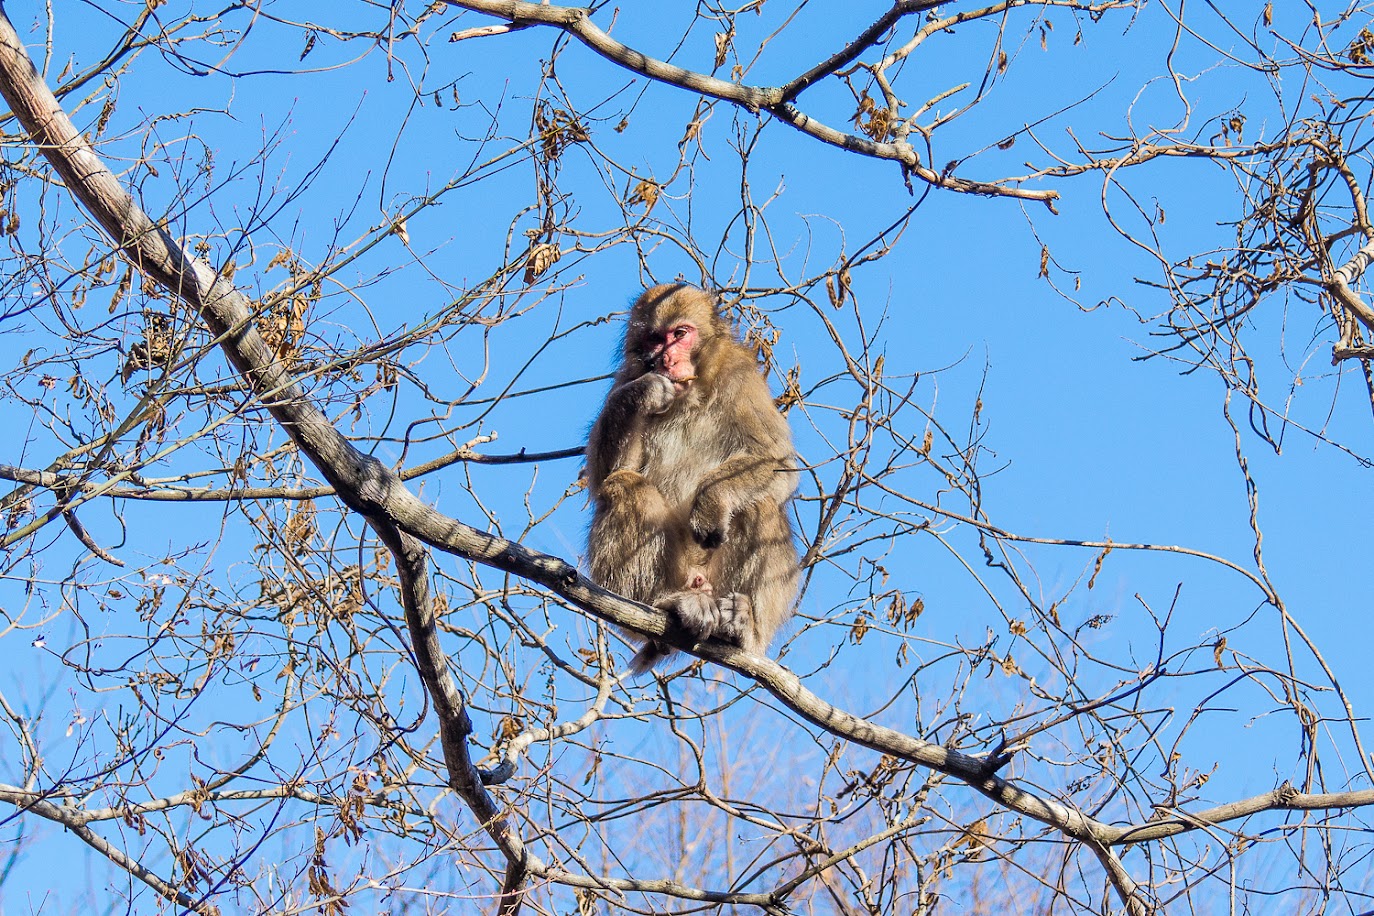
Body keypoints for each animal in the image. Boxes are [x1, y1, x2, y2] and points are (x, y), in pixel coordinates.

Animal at [585, 284, 802, 672]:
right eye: (655, 339)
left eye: (680, 334)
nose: (667, 360)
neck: (690, 395)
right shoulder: (625, 377)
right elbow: (607, 475)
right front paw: (645, 391)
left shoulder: (742, 377)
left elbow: (777, 461)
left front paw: (710, 503)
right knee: (623, 486)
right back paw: (664, 602)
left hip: (720, 581)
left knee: (760, 505)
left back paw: (744, 628)